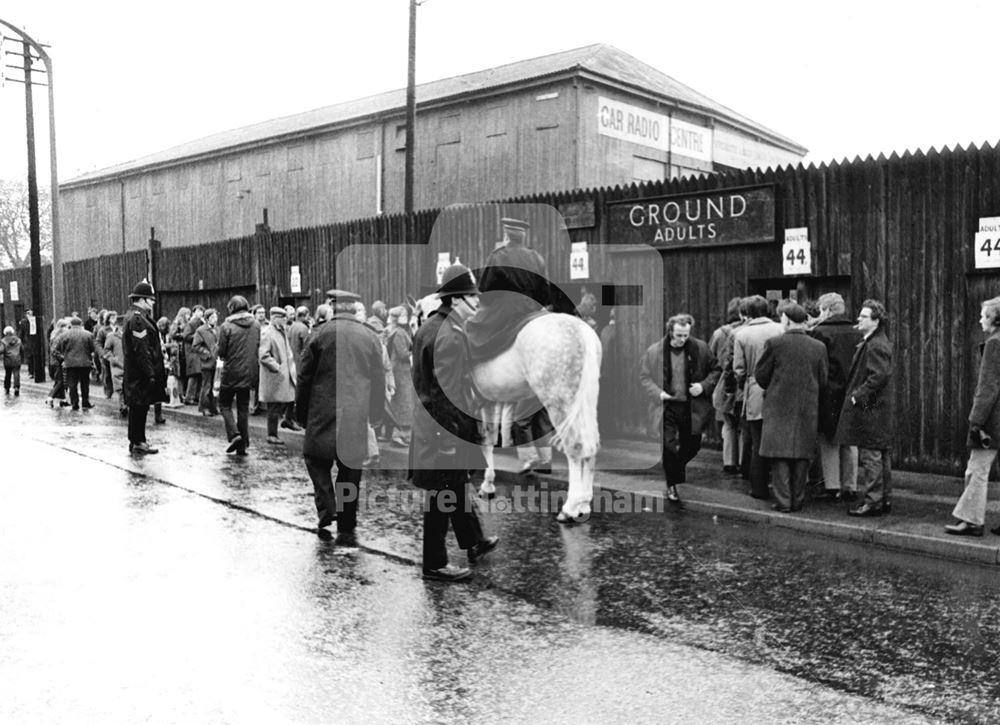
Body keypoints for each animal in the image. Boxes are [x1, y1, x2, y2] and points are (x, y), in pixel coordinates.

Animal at [408, 294, 600, 520]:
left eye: (412, 322)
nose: (412, 354)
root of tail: (581, 332)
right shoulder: (489, 402)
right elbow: (488, 440)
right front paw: (488, 484)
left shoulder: (477, 403)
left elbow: (482, 441)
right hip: (585, 402)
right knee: (590, 446)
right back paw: (584, 503)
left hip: (561, 405)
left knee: (575, 447)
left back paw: (570, 507)